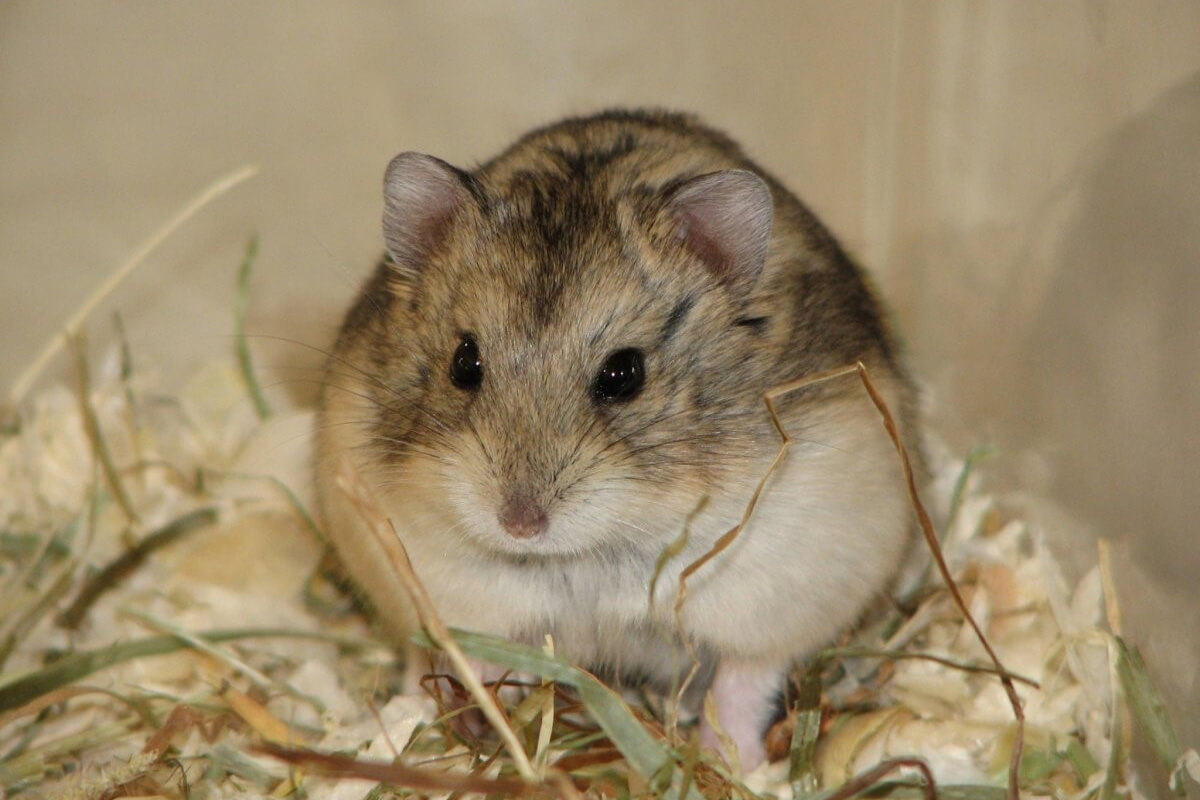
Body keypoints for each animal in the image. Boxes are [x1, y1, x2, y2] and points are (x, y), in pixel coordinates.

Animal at [315, 109, 919, 770]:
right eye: (463, 362)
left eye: (624, 374)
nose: (518, 524)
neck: (591, 550)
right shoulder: (442, 583)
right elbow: (471, 650)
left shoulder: (780, 595)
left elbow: (744, 678)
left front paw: (732, 761)